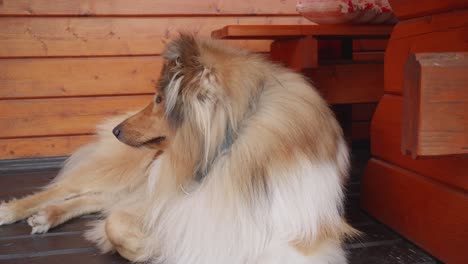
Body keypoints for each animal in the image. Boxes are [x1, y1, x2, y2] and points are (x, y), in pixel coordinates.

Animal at [0, 34, 354, 262]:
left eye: (159, 99)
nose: (117, 131)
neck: (223, 152)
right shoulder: (171, 199)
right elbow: (116, 224)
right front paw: (147, 246)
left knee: (94, 199)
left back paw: (47, 215)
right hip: (129, 169)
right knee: (67, 188)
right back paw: (16, 210)